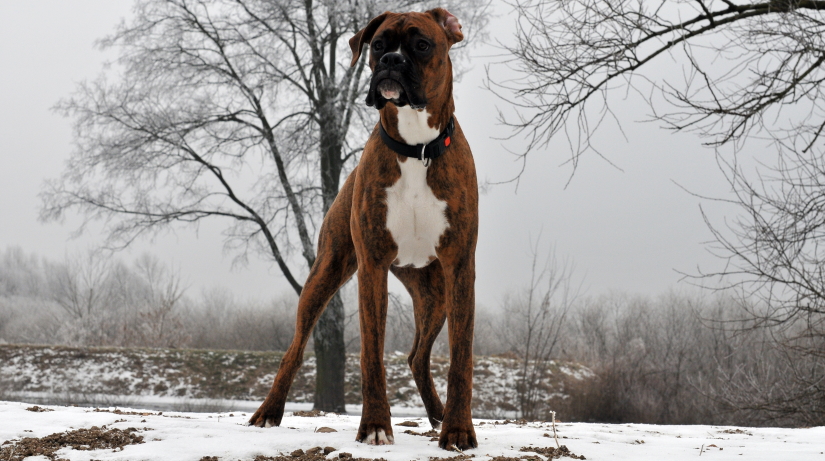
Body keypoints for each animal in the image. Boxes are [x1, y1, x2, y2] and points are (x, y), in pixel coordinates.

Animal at [248, 9, 476, 452]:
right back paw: (268, 411)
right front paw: (374, 425)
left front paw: (458, 431)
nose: (391, 61)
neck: (416, 149)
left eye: (422, 45)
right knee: (294, 350)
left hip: (435, 294)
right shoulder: (372, 265)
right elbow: (372, 352)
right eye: (378, 45)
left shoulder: (459, 267)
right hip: (325, 273)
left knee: (418, 357)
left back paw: (439, 415)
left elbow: (461, 358)